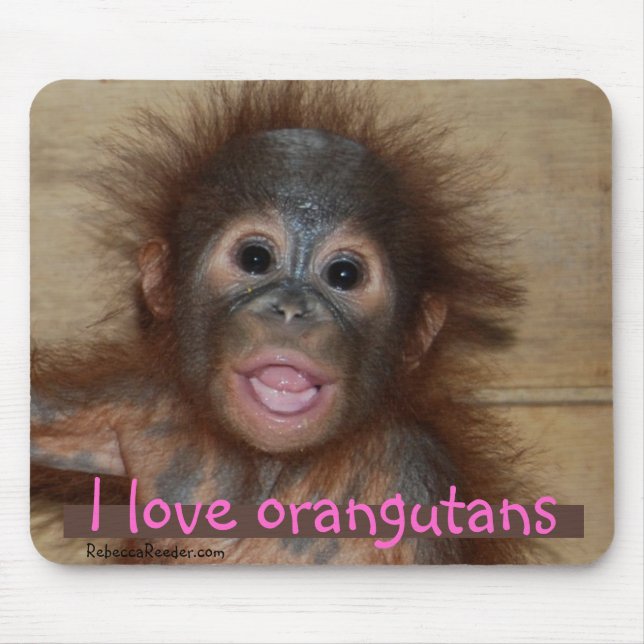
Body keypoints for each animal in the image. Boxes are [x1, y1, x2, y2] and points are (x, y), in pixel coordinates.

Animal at [31, 81, 530, 564]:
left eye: (344, 275)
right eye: (255, 258)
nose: (291, 308)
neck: (271, 464)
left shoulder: (419, 481)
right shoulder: (143, 405)